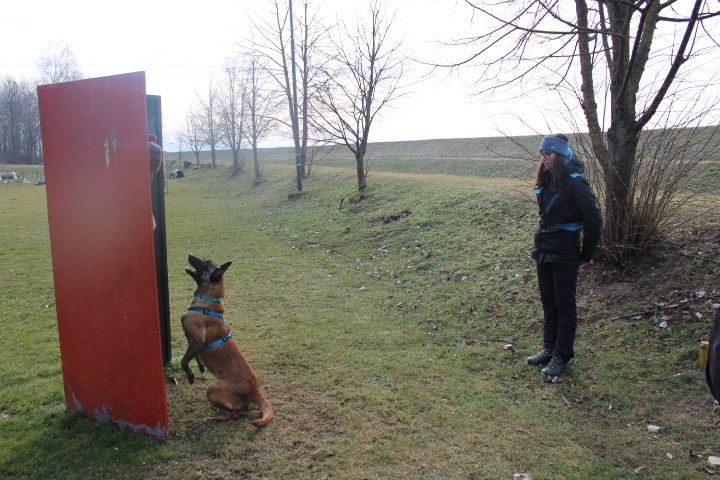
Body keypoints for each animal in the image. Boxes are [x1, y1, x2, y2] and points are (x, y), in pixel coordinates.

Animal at [180, 253, 272, 426]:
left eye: (206, 262)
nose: (189, 254)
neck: (208, 301)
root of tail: (255, 390)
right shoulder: (193, 342)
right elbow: (192, 355)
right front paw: (199, 366)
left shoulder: (197, 340)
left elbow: (184, 360)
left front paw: (190, 374)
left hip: (211, 388)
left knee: (233, 414)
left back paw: (214, 418)